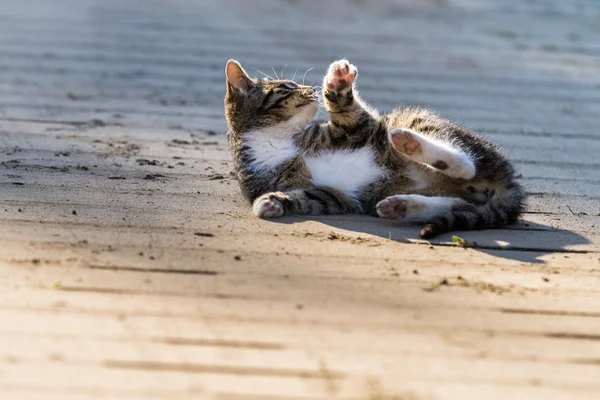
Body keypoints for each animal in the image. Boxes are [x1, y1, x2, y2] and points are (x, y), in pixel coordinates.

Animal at [223, 58, 524, 238]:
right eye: (287, 85)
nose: (310, 88)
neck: (276, 140)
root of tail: (510, 183)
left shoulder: (359, 127)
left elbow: (346, 109)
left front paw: (337, 82)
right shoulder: (332, 195)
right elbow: (306, 197)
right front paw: (271, 203)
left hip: (414, 119)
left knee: (466, 163)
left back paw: (412, 145)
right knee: (461, 201)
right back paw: (403, 206)